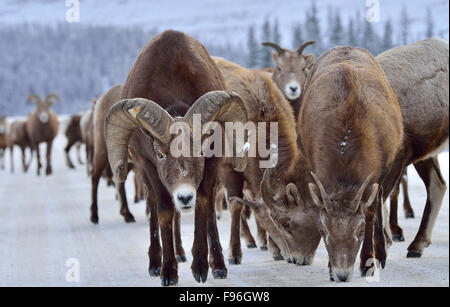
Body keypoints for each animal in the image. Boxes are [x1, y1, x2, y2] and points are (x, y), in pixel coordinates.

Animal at [104, 30, 248, 286]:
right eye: (160, 154)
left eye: (200, 150)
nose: (184, 197)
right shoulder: (148, 166)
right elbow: (164, 211)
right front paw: (168, 272)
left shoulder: (212, 163)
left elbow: (204, 204)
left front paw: (201, 267)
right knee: (153, 207)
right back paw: (155, 263)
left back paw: (217, 264)